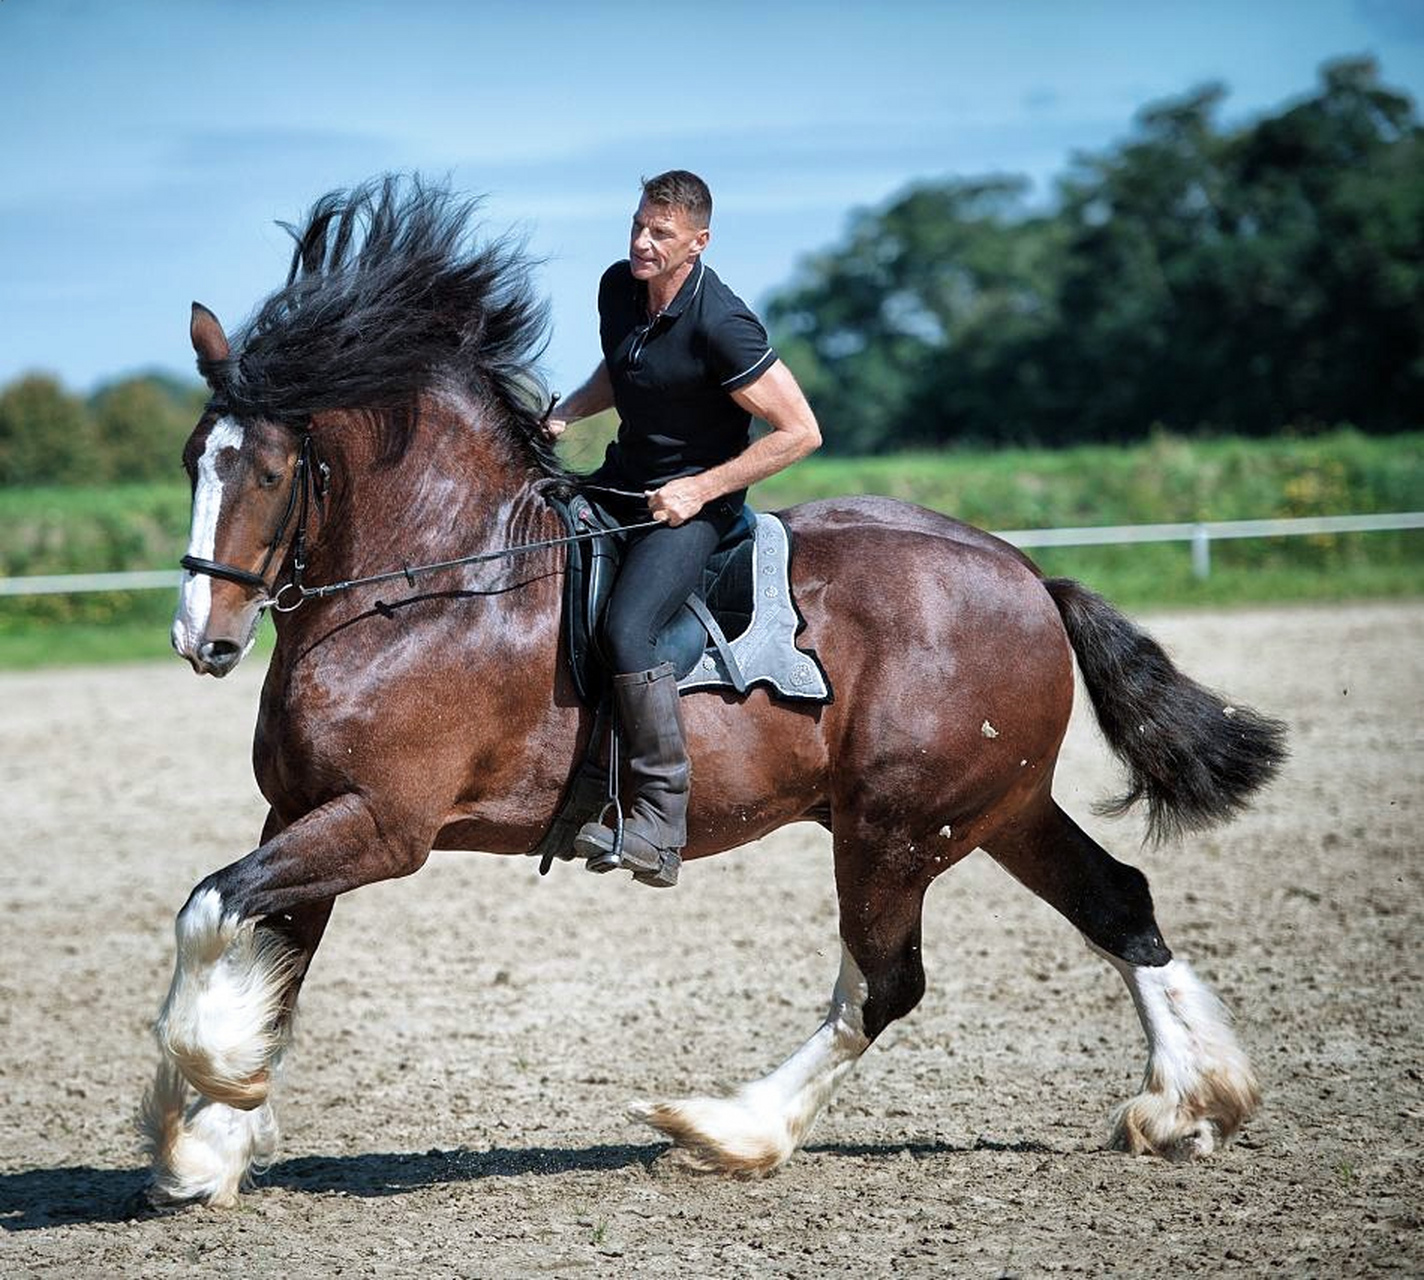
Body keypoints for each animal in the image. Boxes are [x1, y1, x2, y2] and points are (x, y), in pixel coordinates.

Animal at [144, 180, 1292, 1213]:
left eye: (270, 471)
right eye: (195, 457)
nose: (202, 639)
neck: (431, 582)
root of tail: (1022, 574)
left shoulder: (381, 824)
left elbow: (210, 910)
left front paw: (204, 1090)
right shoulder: (301, 811)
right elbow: (270, 957)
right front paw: (212, 1141)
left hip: (895, 829)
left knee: (885, 982)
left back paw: (730, 1127)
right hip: (990, 808)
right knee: (1116, 902)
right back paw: (1189, 1102)